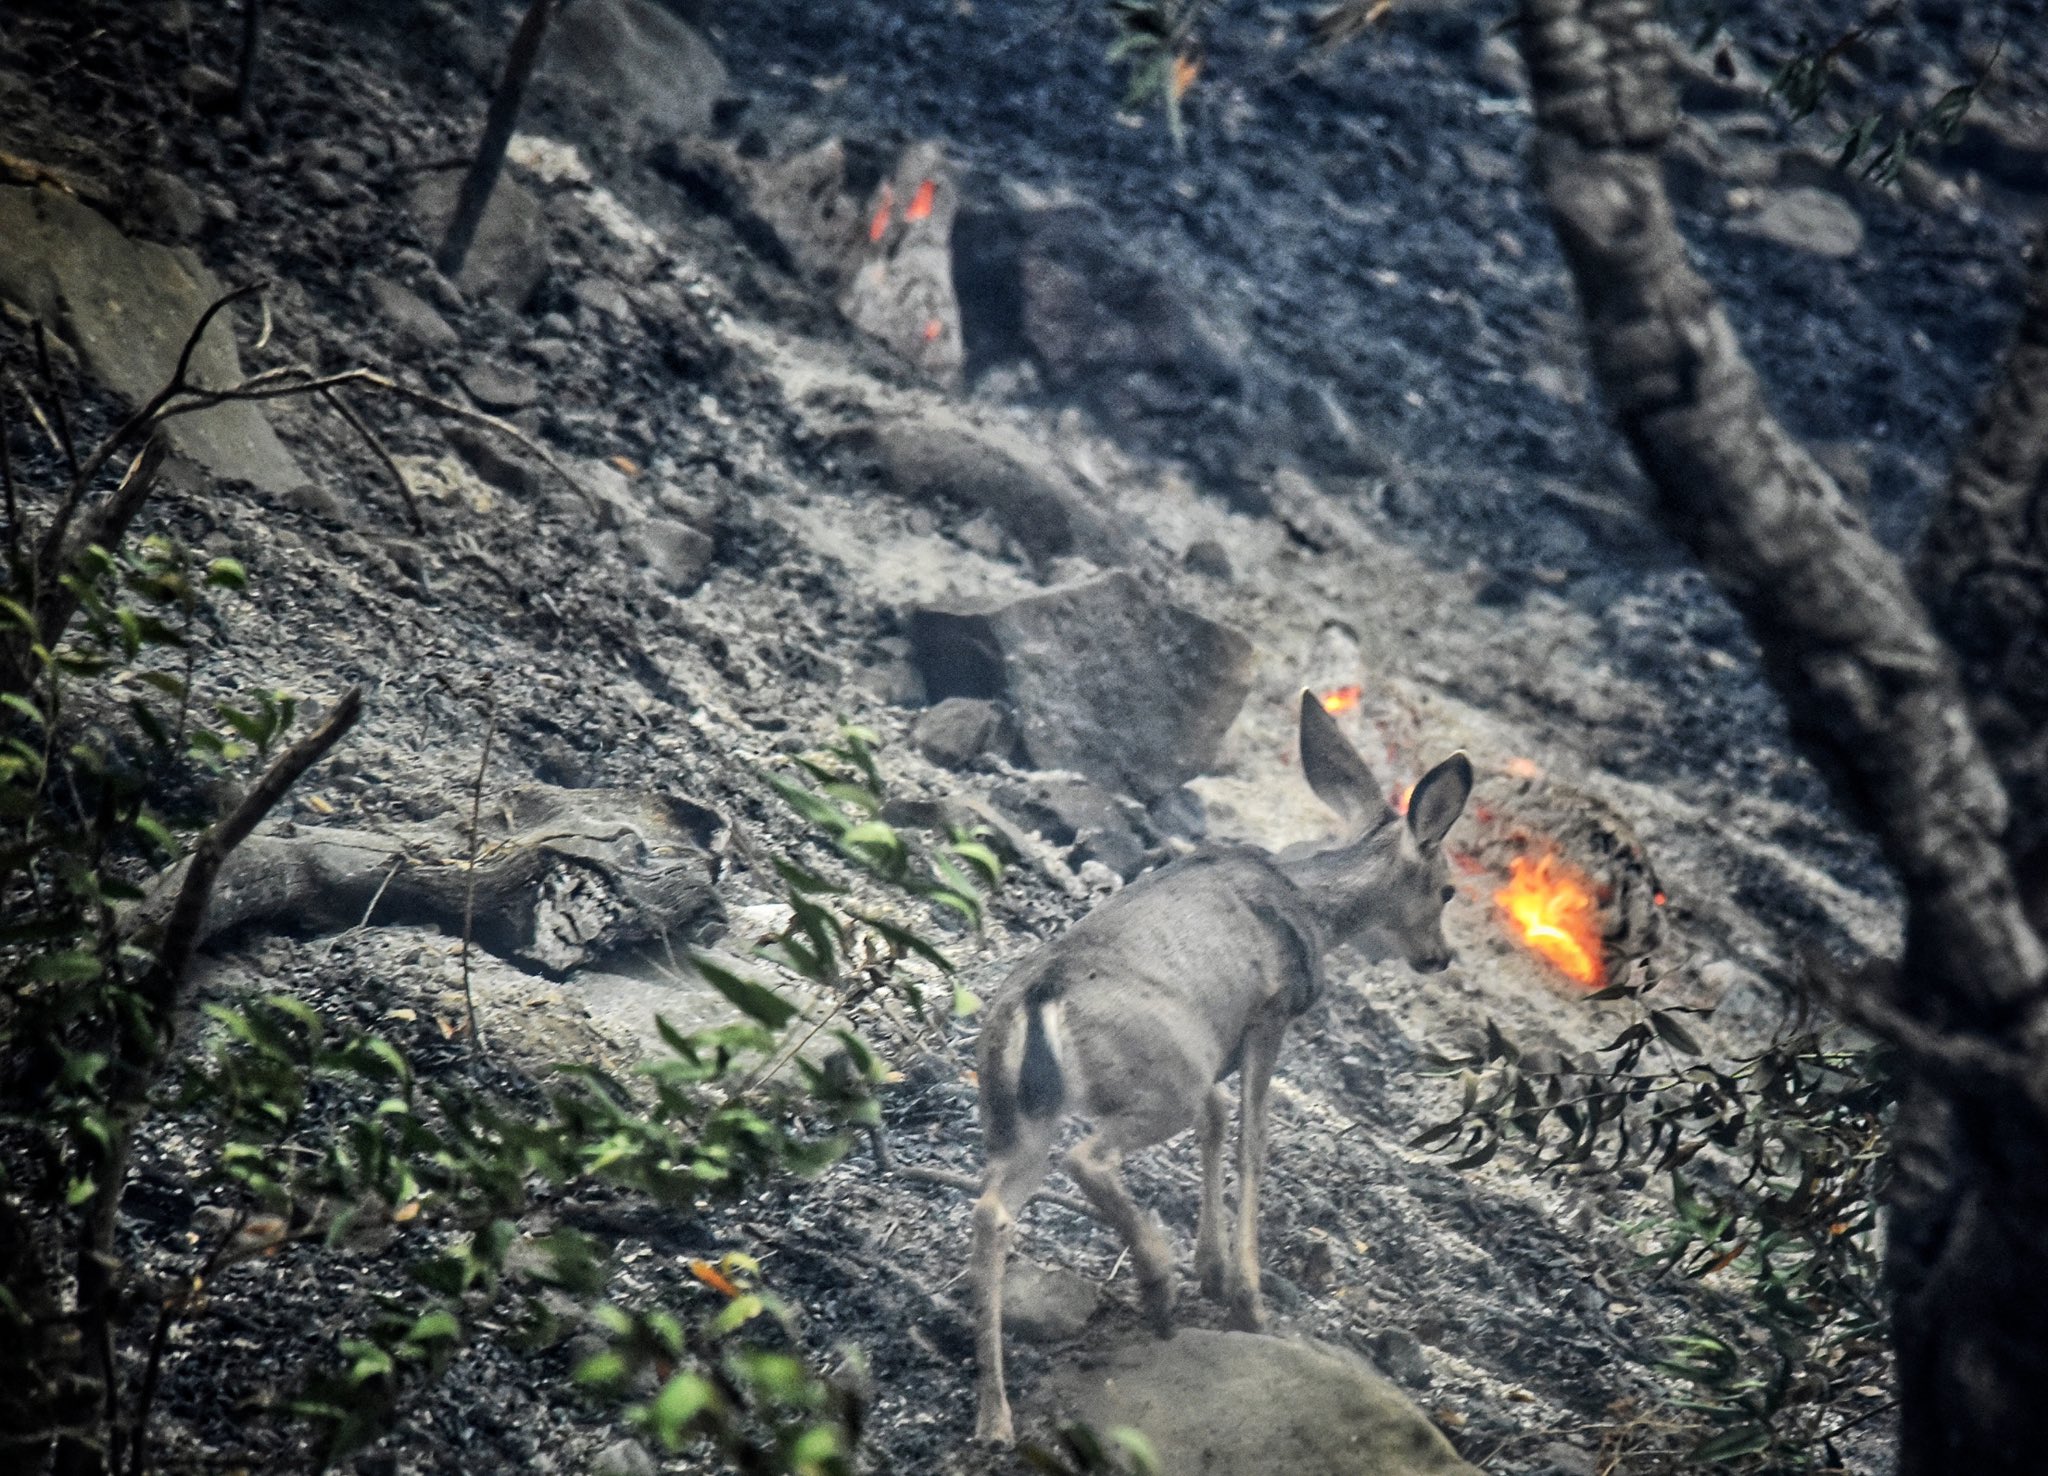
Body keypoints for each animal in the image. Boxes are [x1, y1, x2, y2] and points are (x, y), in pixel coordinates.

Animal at [969, 689, 1474, 1445]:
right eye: (1446, 890)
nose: (1439, 958)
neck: (1316, 909)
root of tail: (1039, 1000)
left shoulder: (1215, 1048)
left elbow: (1218, 1119)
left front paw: (1211, 1268)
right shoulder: (1270, 1013)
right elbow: (1252, 1140)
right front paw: (1245, 1296)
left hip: (1021, 1113)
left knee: (992, 1210)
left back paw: (995, 1415)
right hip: (1154, 1081)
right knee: (1089, 1158)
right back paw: (1156, 1282)